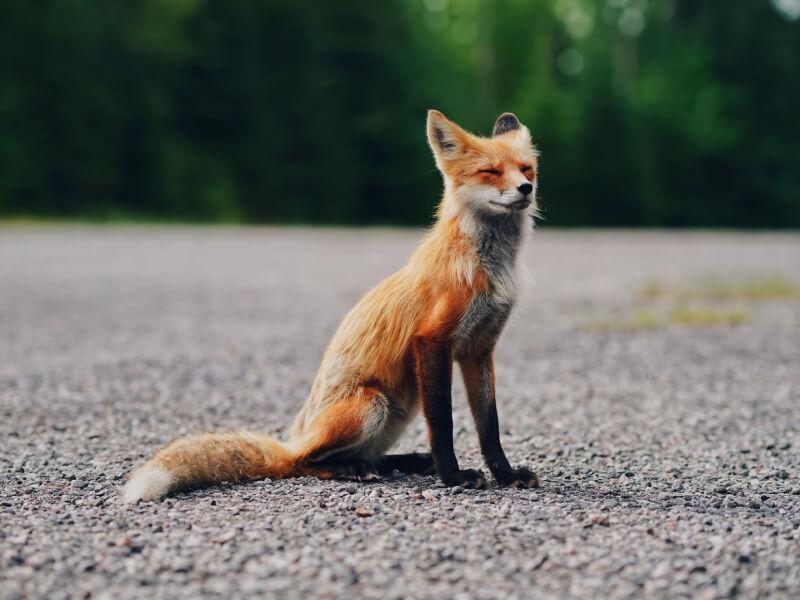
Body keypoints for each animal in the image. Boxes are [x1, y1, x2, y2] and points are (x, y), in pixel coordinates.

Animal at [122, 110, 541, 503]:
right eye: (490, 171)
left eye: (526, 168)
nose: (526, 188)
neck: (489, 268)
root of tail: (295, 437)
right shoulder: (433, 342)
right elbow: (444, 425)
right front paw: (453, 476)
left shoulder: (478, 349)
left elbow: (489, 424)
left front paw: (505, 474)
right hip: (372, 405)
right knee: (303, 463)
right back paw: (353, 468)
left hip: (401, 409)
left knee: (367, 457)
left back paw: (402, 462)